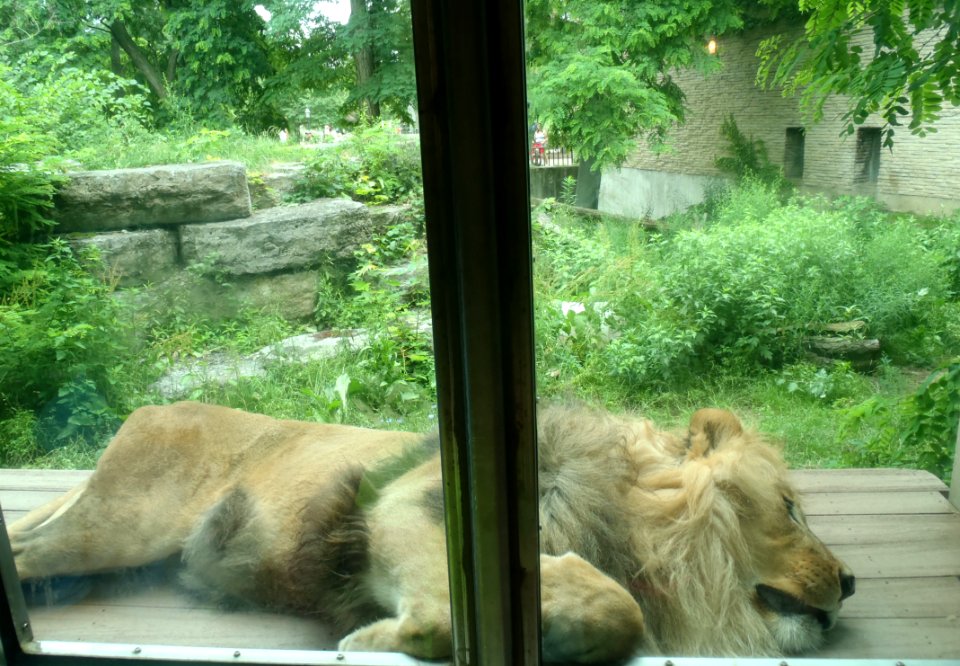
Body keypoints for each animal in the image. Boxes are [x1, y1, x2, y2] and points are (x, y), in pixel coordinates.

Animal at [5, 400, 848, 660]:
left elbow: (613, 611)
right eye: (790, 508)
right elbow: (607, 600)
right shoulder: (402, 506)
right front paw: (381, 640)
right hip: (117, 524)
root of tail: (150, 407)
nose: (850, 581)